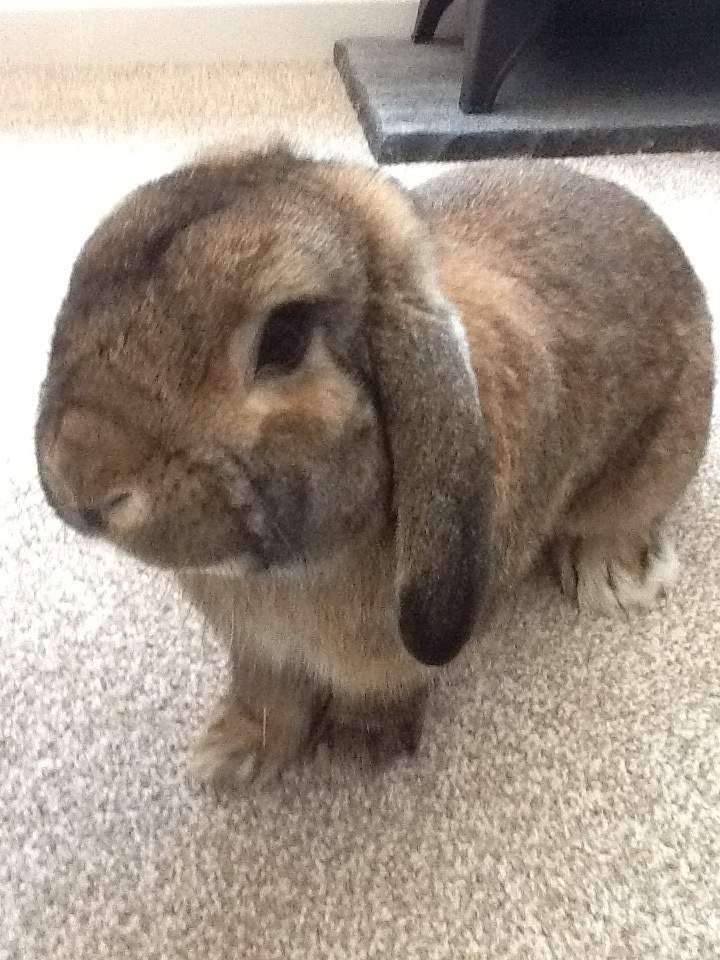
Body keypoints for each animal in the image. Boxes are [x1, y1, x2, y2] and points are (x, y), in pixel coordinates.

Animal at [35, 146, 714, 787]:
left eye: (285, 338)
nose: (83, 482)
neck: (294, 575)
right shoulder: (257, 649)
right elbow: (267, 695)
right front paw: (232, 756)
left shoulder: (395, 654)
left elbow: (384, 686)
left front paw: (359, 746)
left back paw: (614, 577)